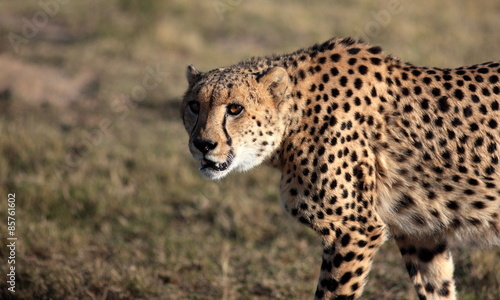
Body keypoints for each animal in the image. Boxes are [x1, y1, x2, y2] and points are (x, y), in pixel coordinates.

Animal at [181, 38, 500, 300]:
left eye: (235, 109)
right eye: (194, 106)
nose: (203, 144)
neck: (296, 117)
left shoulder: (355, 231)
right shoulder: (419, 232)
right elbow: (438, 286)